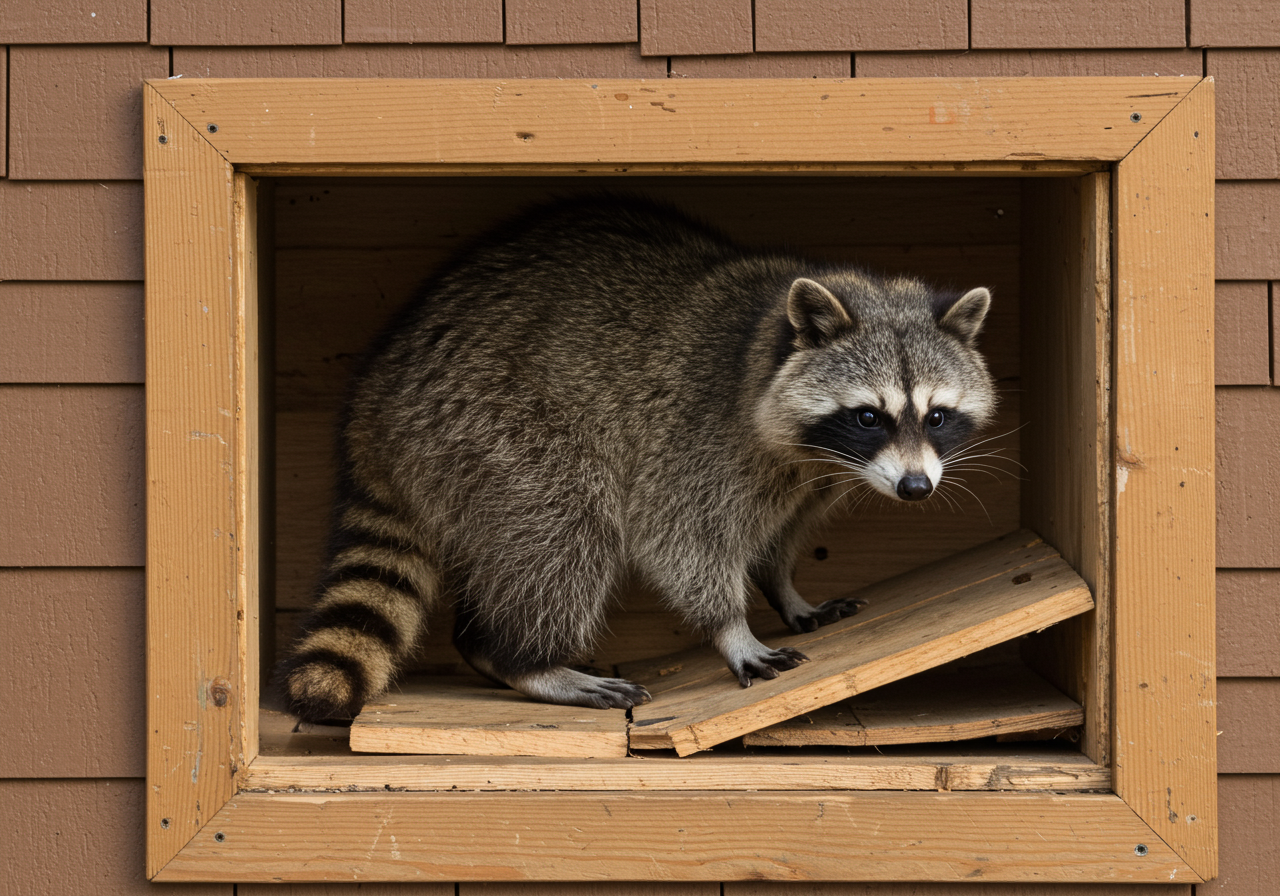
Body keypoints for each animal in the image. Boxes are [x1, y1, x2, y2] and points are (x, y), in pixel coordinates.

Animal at [280, 196, 997, 722]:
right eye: (870, 416)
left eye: (936, 415)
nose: (915, 488)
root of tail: (377, 398)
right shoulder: (696, 432)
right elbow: (676, 536)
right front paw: (731, 625)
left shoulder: (814, 474)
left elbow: (782, 530)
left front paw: (782, 584)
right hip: (488, 422)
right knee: (564, 524)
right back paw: (522, 659)